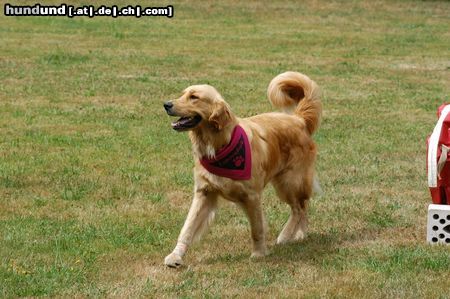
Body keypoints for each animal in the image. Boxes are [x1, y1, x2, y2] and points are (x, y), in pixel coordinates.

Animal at [163, 71, 322, 268]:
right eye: (182, 94)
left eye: (194, 97)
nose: (166, 104)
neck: (218, 145)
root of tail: (298, 119)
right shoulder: (204, 193)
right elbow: (188, 228)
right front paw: (175, 256)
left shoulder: (252, 196)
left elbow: (257, 228)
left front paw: (259, 253)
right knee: (303, 206)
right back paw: (300, 234)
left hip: (289, 182)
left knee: (299, 208)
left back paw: (287, 235)